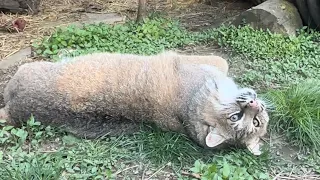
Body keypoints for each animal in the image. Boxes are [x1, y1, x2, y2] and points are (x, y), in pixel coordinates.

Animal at [0, 51, 268, 155]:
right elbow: (224, 62)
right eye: (236, 117)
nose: (255, 105)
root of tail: (14, 110)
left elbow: (223, 61)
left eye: (253, 121)